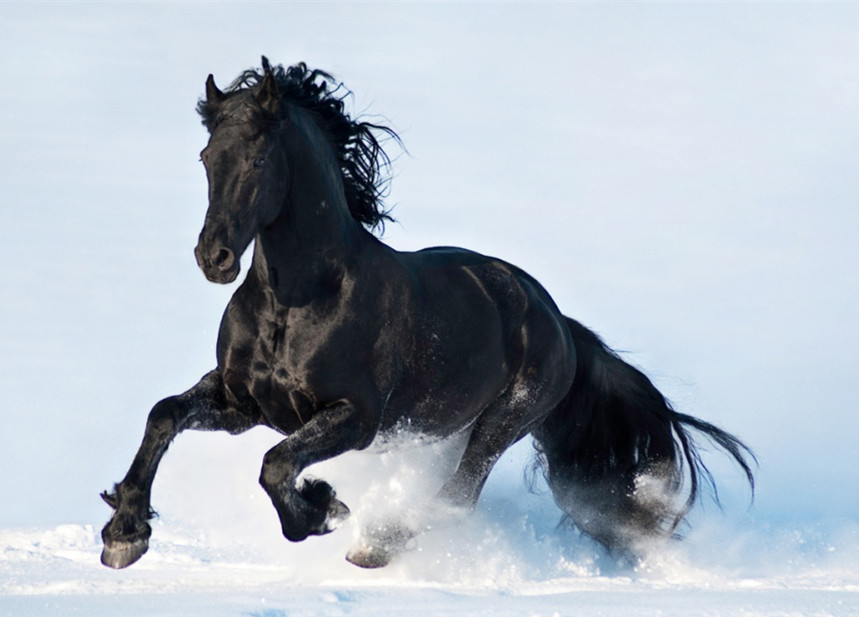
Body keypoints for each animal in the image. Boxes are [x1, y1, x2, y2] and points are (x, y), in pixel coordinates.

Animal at [99, 60, 752, 572]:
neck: (297, 302)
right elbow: (165, 415)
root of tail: (558, 322)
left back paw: (377, 544)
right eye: (207, 156)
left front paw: (324, 507)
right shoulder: (243, 405)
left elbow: (276, 464)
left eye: (258, 160)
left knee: (458, 495)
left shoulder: (356, 418)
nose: (213, 258)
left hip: (502, 422)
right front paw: (125, 533)